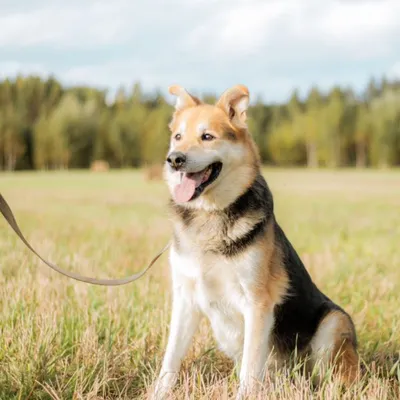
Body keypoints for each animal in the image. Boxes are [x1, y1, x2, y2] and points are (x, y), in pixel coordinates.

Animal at [153, 83, 360, 396]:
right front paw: (158, 393)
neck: (210, 214)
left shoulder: (257, 302)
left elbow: (250, 368)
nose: (175, 159)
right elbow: (171, 357)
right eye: (178, 136)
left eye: (207, 136)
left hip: (333, 323)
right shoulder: (185, 299)